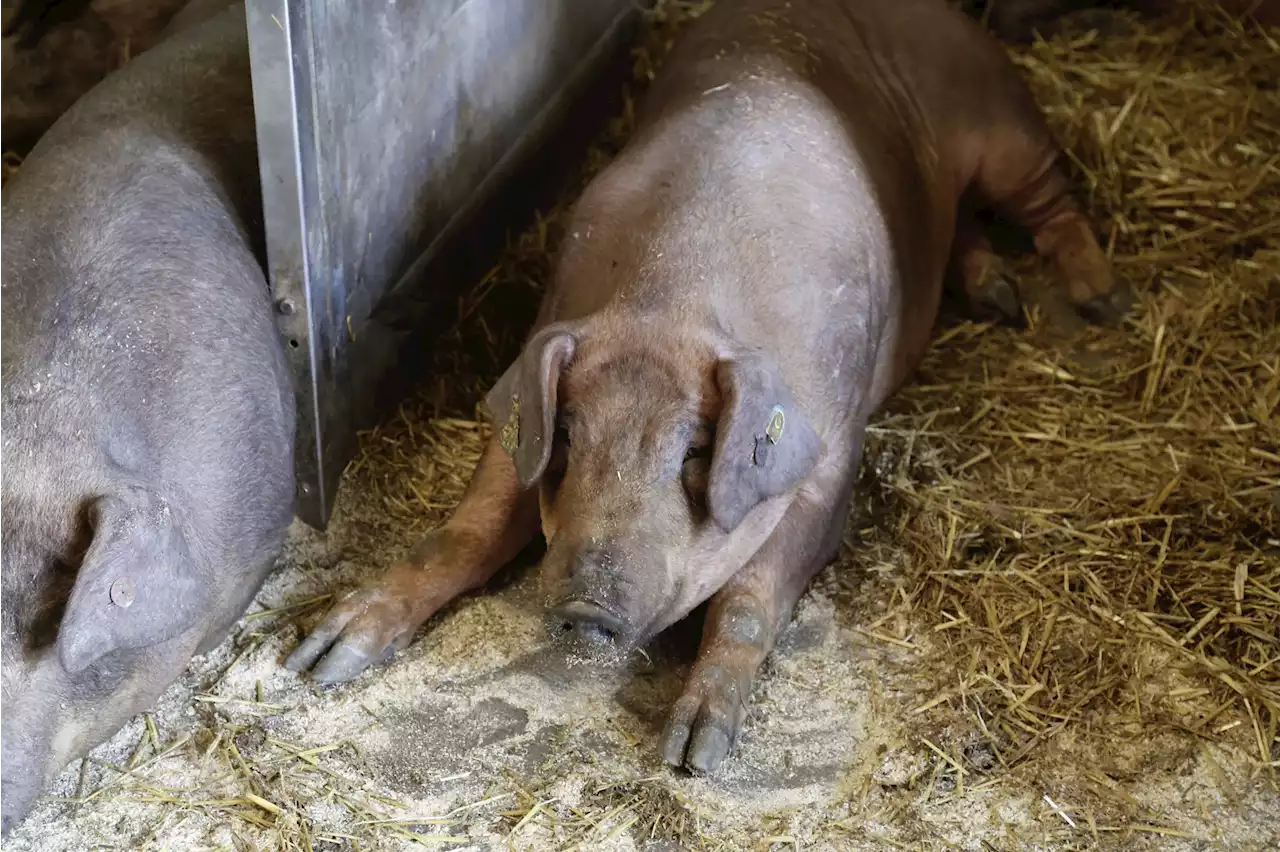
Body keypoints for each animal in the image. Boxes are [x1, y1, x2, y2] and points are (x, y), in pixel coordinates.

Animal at [282, 0, 1131, 772]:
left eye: (695, 452)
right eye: (568, 438)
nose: (587, 607)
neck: (672, 300)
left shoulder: (828, 456)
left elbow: (750, 601)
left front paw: (694, 752)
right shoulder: (519, 406)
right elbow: (471, 527)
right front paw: (320, 657)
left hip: (1002, 126)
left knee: (1050, 198)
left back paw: (1099, 301)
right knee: (964, 228)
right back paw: (999, 294)